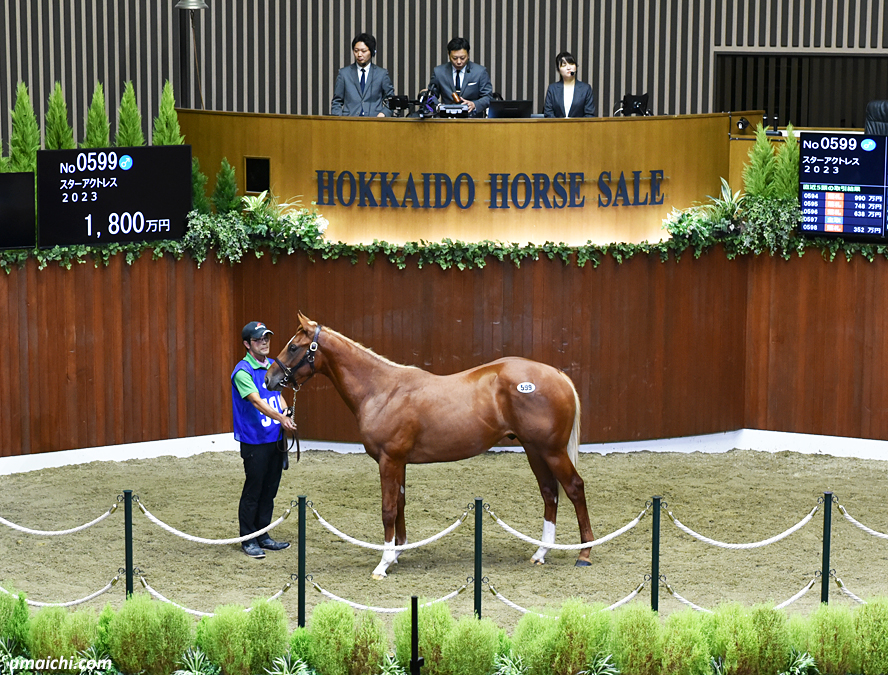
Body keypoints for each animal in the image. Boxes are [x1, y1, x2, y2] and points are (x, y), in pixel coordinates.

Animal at [265, 312, 595, 579]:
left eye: (293, 346)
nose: (269, 378)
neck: (380, 389)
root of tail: (558, 375)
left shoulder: (389, 460)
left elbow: (387, 509)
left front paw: (383, 564)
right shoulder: (399, 462)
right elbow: (399, 504)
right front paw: (397, 553)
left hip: (551, 451)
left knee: (574, 488)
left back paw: (584, 554)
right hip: (534, 450)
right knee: (550, 493)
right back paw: (541, 553)